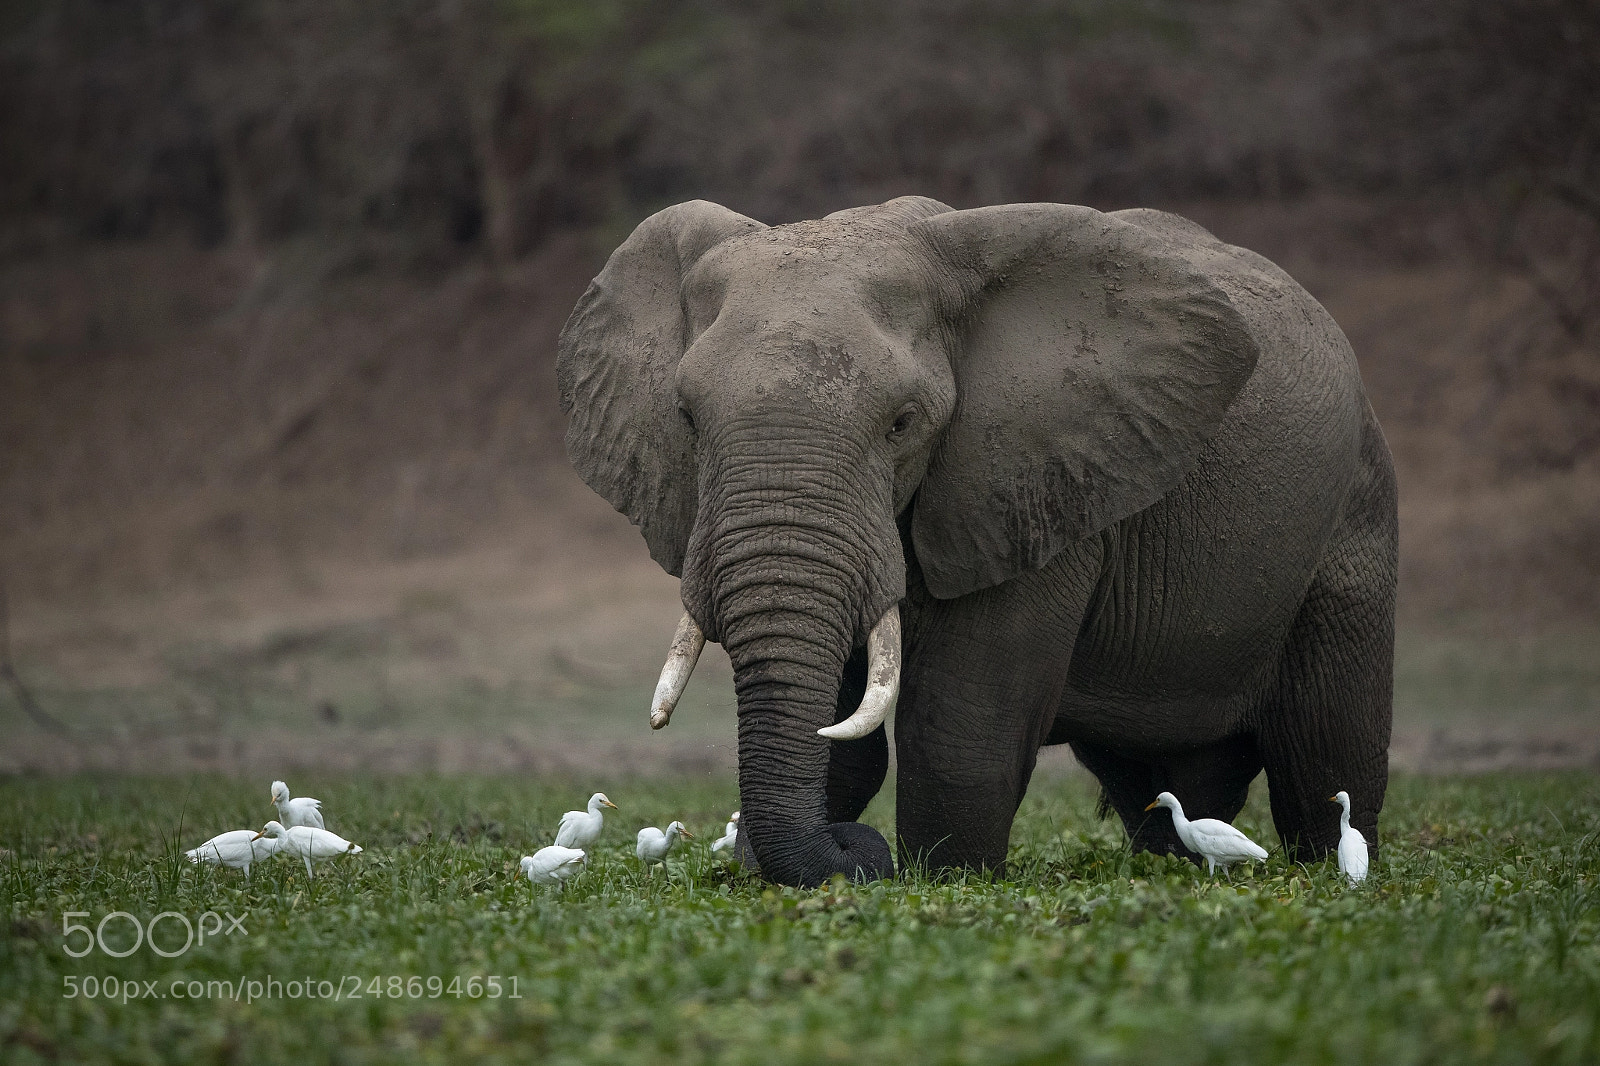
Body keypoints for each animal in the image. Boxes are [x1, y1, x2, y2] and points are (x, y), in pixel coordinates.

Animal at [556, 195, 1397, 888]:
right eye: (687, 418)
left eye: (903, 422)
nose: (855, 851)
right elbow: (846, 734)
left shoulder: (1035, 476)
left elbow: (961, 722)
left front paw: (946, 881)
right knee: (1162, 785)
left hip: (1353, 519)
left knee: (1321, 760)